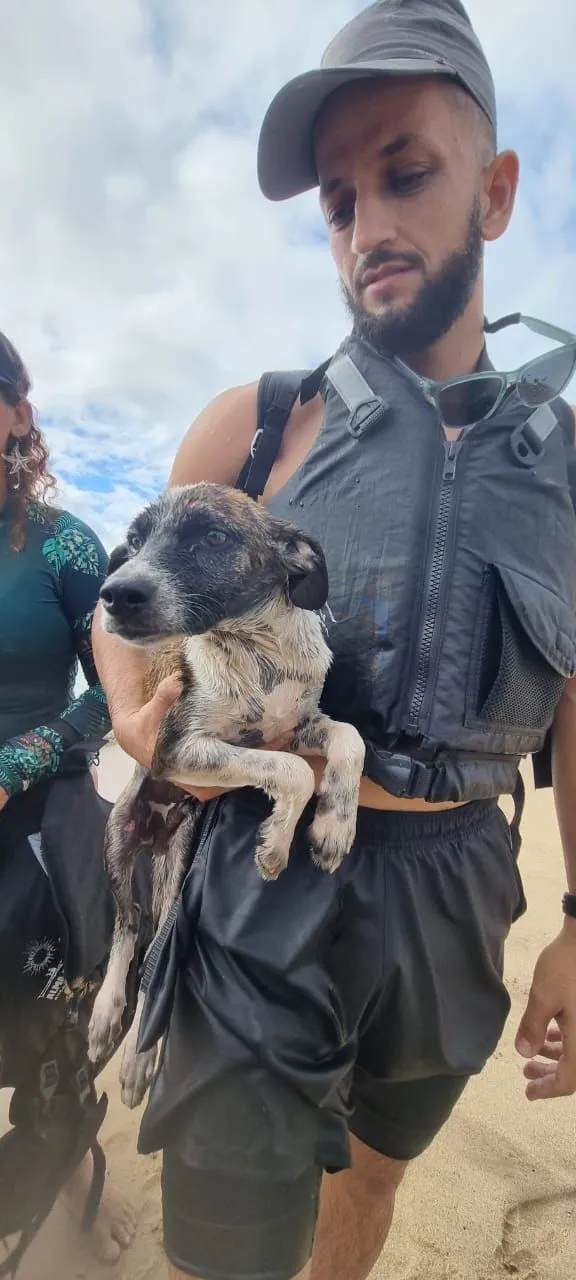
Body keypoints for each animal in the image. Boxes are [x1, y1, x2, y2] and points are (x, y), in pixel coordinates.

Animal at [86, 483, 363, 1105]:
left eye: (213, 537)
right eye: (134, 539)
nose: (113, 595)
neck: (256, 650)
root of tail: (155, 831)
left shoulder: (298, 725)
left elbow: (349, 739)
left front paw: (334, 827)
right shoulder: (180, 749)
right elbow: (292, 771)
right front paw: (277, 844)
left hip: (178, 864)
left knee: (156, 948)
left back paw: (141, 1058)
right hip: (117, 837)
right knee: (126, 927)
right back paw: (108, 1015)